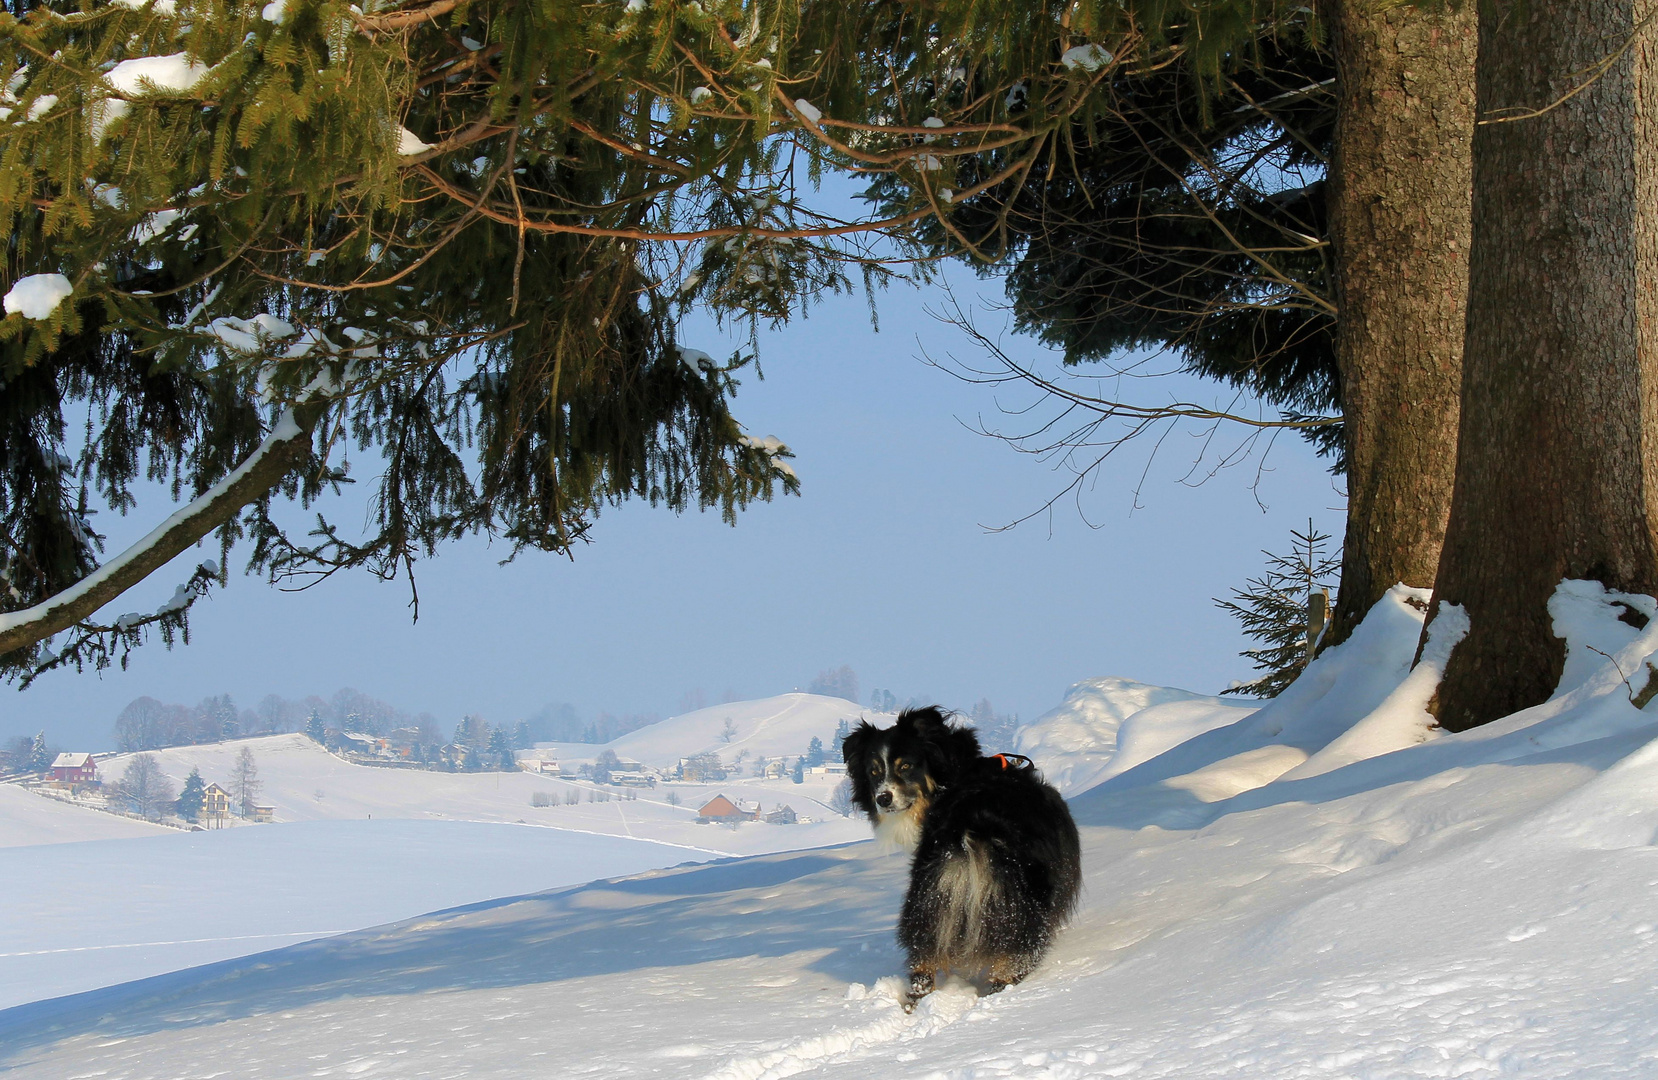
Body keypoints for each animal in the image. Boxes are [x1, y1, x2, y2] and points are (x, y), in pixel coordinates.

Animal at [848, 706, 1081, 1008]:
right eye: (874, 771)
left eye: (906, 766)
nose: (883, 799)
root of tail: (967, 829)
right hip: (1021, 906)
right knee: (1013, 961)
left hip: (925, 902)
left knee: (922, 966)